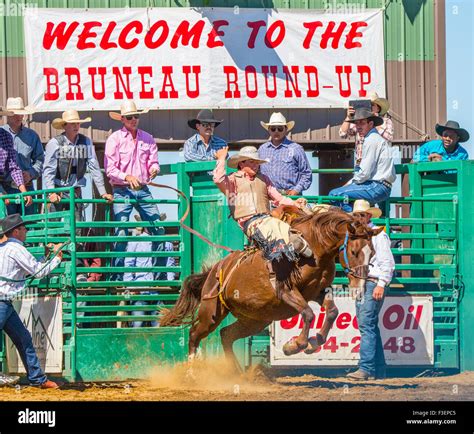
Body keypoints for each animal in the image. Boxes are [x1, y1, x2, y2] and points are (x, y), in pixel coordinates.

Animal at [161, 205, 384, 372]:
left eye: (373, 252)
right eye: (354, 251)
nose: (360, 286)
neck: (312, 248)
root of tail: (215, 270)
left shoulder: (318, 291)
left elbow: (331, 312)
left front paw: (314, 342)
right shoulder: (286, 290)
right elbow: (308, 313)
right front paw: (294, 345)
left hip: (254, 321)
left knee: (226, 335)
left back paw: (235, 372)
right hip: (210, 313)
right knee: (194, 334)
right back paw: (191, 373)